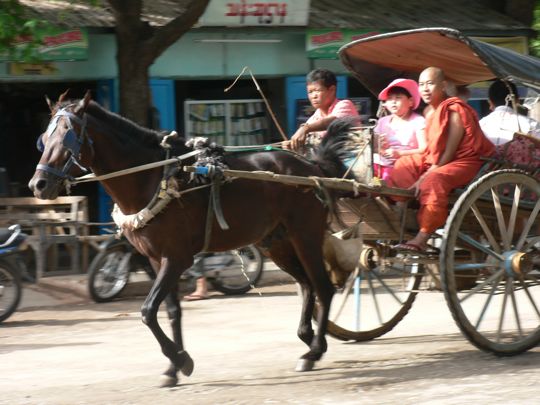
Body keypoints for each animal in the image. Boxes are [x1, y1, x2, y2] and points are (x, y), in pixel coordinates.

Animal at [28, 91, 350, 386]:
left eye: (68, 137)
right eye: (43, 138)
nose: (38, 184)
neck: (151, 178)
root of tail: (311, 168)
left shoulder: (176, 258)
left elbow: (147, 311)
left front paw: (180, 359)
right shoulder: (157, 260)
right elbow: (171, 311)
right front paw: (174, 366)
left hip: (305, 235)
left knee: (323, 287)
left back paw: (315, 349)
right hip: (276, 243)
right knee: (307, 285)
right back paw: (307, 338)